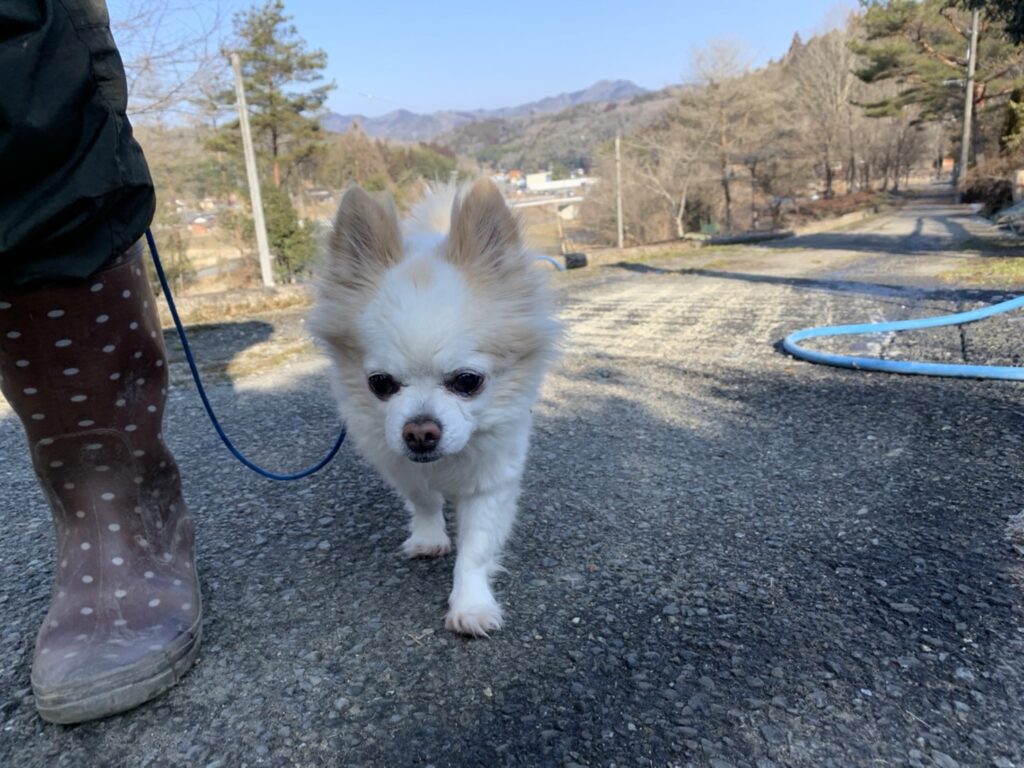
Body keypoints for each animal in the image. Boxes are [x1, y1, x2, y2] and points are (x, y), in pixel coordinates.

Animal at [310, 179, 560, 636]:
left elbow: (476, 548)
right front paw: (429, 538)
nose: (420, 431)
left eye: (468, 381)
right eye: (380, 384)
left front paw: (471, 605)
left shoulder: (491, 480)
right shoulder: (400, 464)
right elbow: (424, 501)